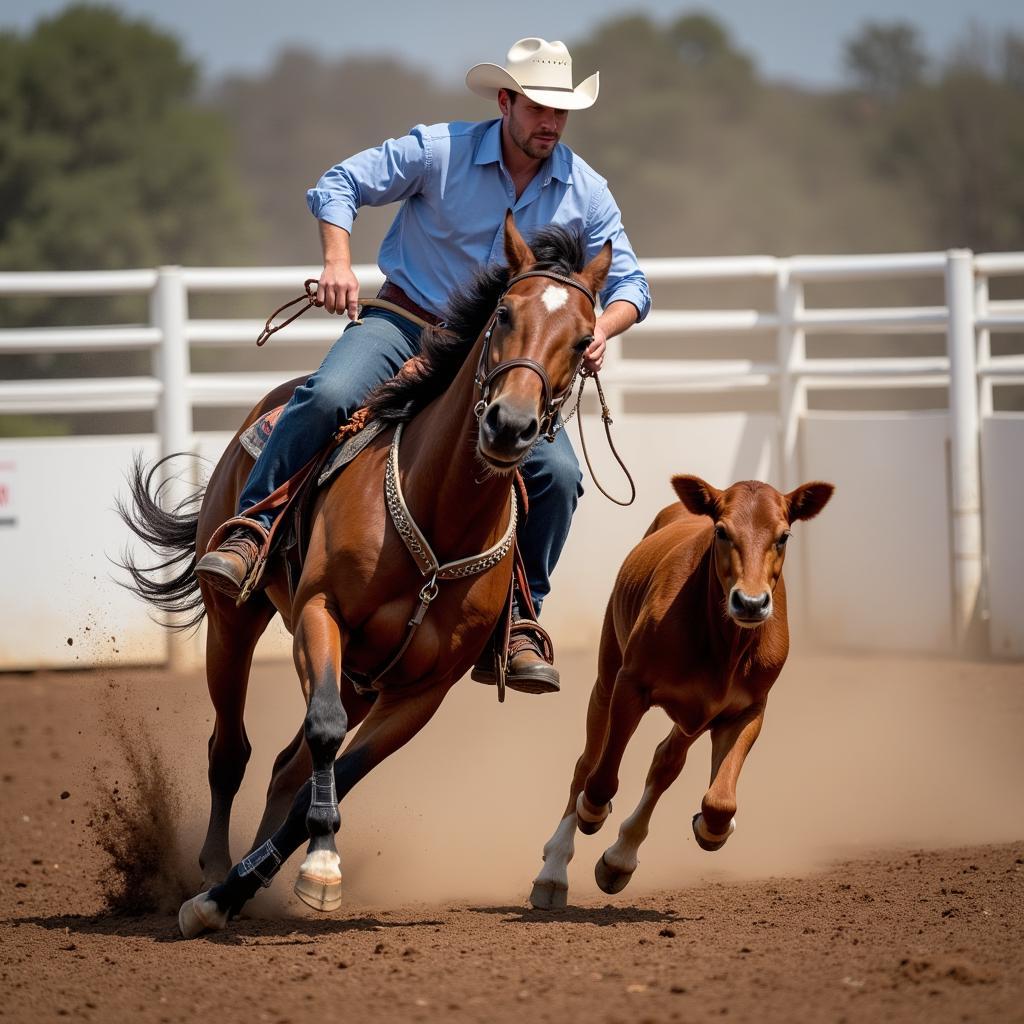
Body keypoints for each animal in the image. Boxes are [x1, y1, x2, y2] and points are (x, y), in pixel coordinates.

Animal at [122, 214, 610, 937]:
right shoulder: (320, 613)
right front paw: (291, 874)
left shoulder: (420, 693)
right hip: (235, 620)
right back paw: (212, 870)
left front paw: (295, 875)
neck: (438, 518)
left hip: (360, 678)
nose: (511, 425)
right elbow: (324, 733)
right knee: (231, 748)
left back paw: (244, 884)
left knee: (285, 769)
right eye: (502, 314)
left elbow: (337, 773)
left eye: (582, 340)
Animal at [528, 468, 831, 909]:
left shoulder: (745, 710)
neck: (723, 643)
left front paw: (711, 827)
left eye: (784, 536)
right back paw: (555, 872)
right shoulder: (630, 686)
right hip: (607, 676)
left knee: (666, 761)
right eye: (721, 531)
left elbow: (718, 800)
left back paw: (620, 859)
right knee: (588, 763)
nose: (751, 603)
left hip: (696, 714)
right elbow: (601, 779)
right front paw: (592, 813)